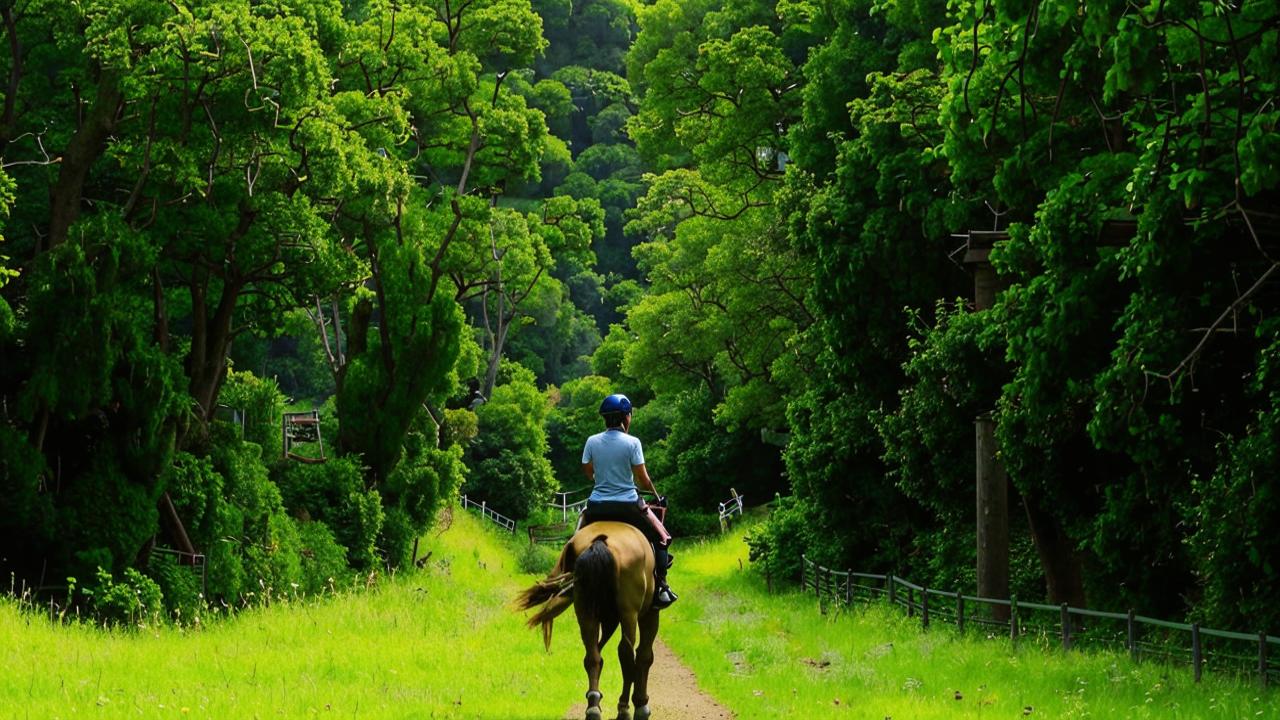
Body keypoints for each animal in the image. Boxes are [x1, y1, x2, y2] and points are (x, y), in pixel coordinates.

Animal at [517, 520, 665, 717]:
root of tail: (600, 542)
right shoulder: (650, 614)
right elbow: (644, 656)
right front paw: (641, 705)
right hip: (629, 612)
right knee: (626, 653)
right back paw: (623, 709)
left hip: (585, 611)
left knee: (592, 656)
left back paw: (593, 705)